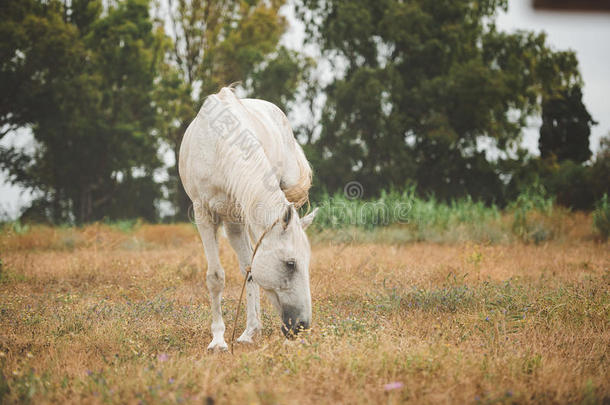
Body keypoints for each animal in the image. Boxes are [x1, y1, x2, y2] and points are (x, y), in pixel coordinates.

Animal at [177, 87, 316, 348]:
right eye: (290, 264)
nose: (302, 326)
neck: (218, 147)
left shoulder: (245, 213)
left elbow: (251, 269)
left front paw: (251, 331)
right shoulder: (204, 215)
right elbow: (216, 277)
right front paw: (218, 340)